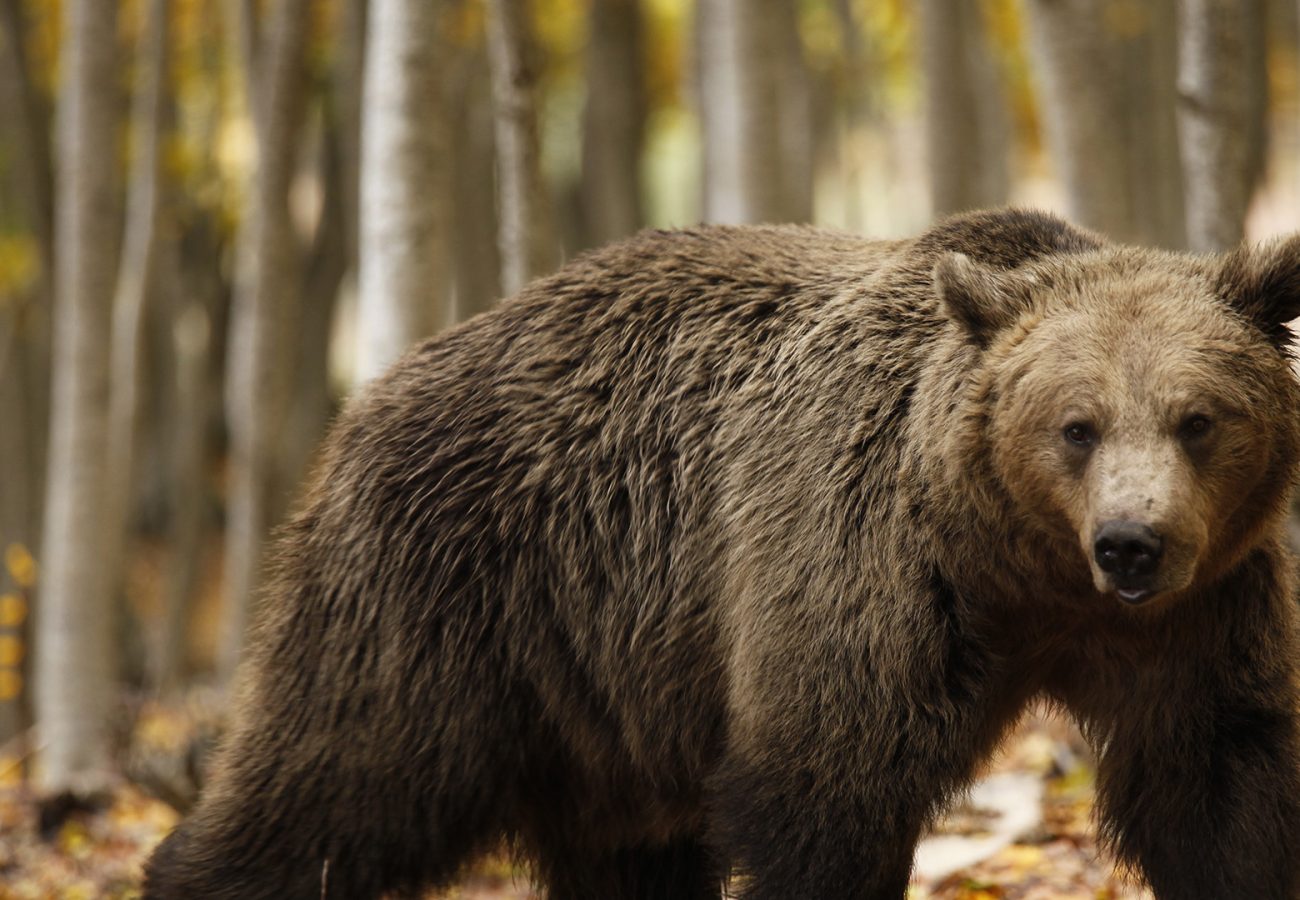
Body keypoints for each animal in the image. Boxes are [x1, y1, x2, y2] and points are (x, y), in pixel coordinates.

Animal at [139, 210, 1300, 900]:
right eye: (1076, 425)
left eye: (1197, 419)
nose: (1132, 544)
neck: (1019, 570)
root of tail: (376, 389)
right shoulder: (860, 572)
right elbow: (826, 792)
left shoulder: (1200, 618)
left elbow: (1219, 788)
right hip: (447, 589)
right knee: (340, 781)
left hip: (607, 687)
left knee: (624, 855)